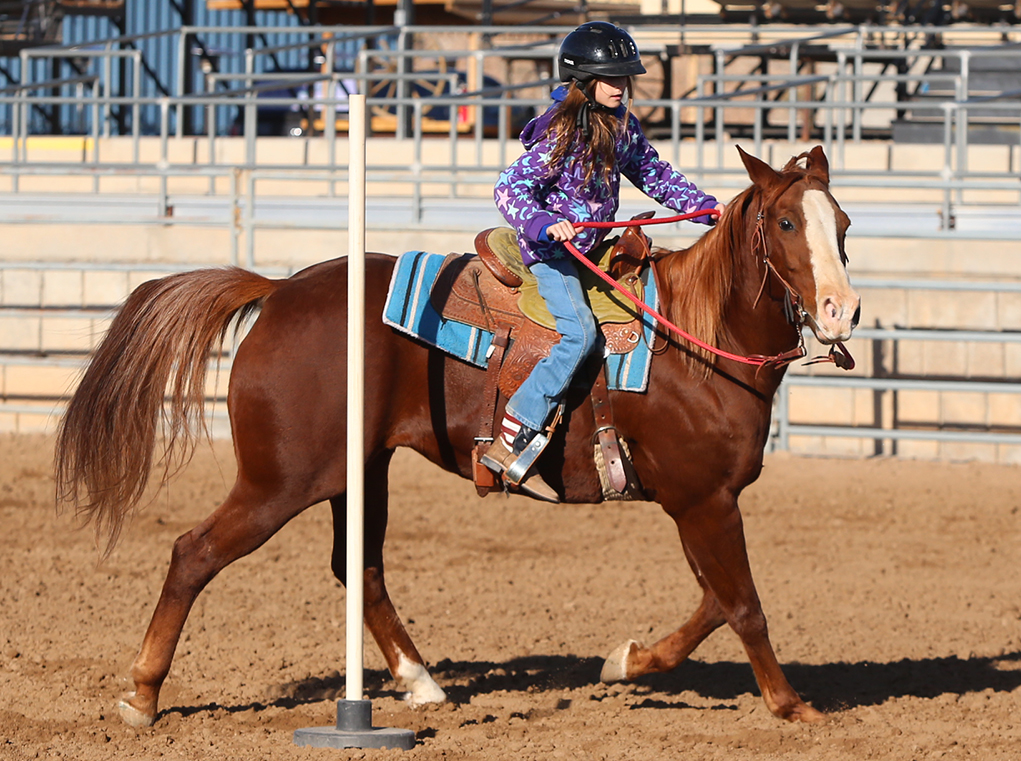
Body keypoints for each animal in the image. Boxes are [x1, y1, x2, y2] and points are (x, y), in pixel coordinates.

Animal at [51, 147, 857, 723]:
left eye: (843, 225)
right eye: (787, 223)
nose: (841, 311)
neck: (696, 338)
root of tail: (277, 291)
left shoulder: (697, 502)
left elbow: (714, 602)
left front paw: (625, 660)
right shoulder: (704, 501)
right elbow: (743, 603)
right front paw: (792, 706)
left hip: (357, 472)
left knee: (359, 568)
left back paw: (420, 682)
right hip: (279, 481)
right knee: (195, 553)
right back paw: (142, 695)